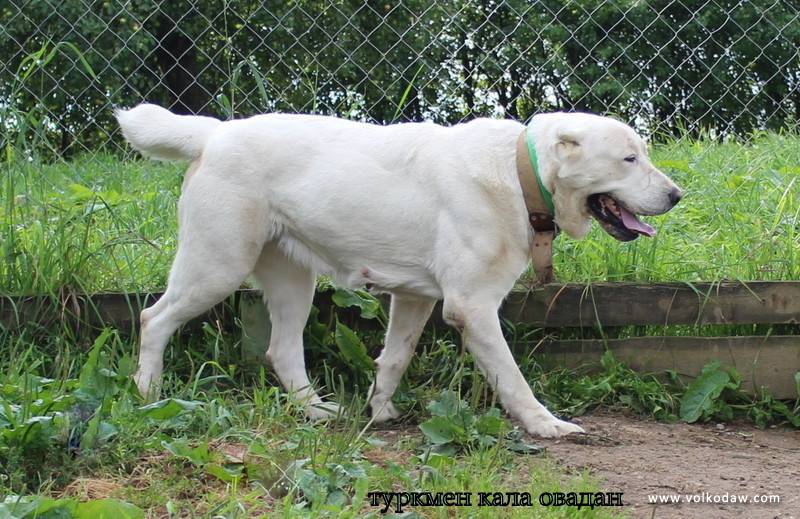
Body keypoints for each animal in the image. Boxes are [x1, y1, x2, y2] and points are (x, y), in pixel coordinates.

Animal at [116, 105, 681, 438]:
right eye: (629, 159)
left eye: (643, 155)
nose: (677, 195)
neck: (522, 174)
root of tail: (215, 133)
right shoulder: (472, 308)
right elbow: (512, 379)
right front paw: (546, 425)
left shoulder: (416, 298)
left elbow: (394, 357)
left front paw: (381, 412)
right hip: (216, 266)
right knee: (152, 319)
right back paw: (148, 395)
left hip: (292, 282)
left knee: (282, 350)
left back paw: (317, 412)